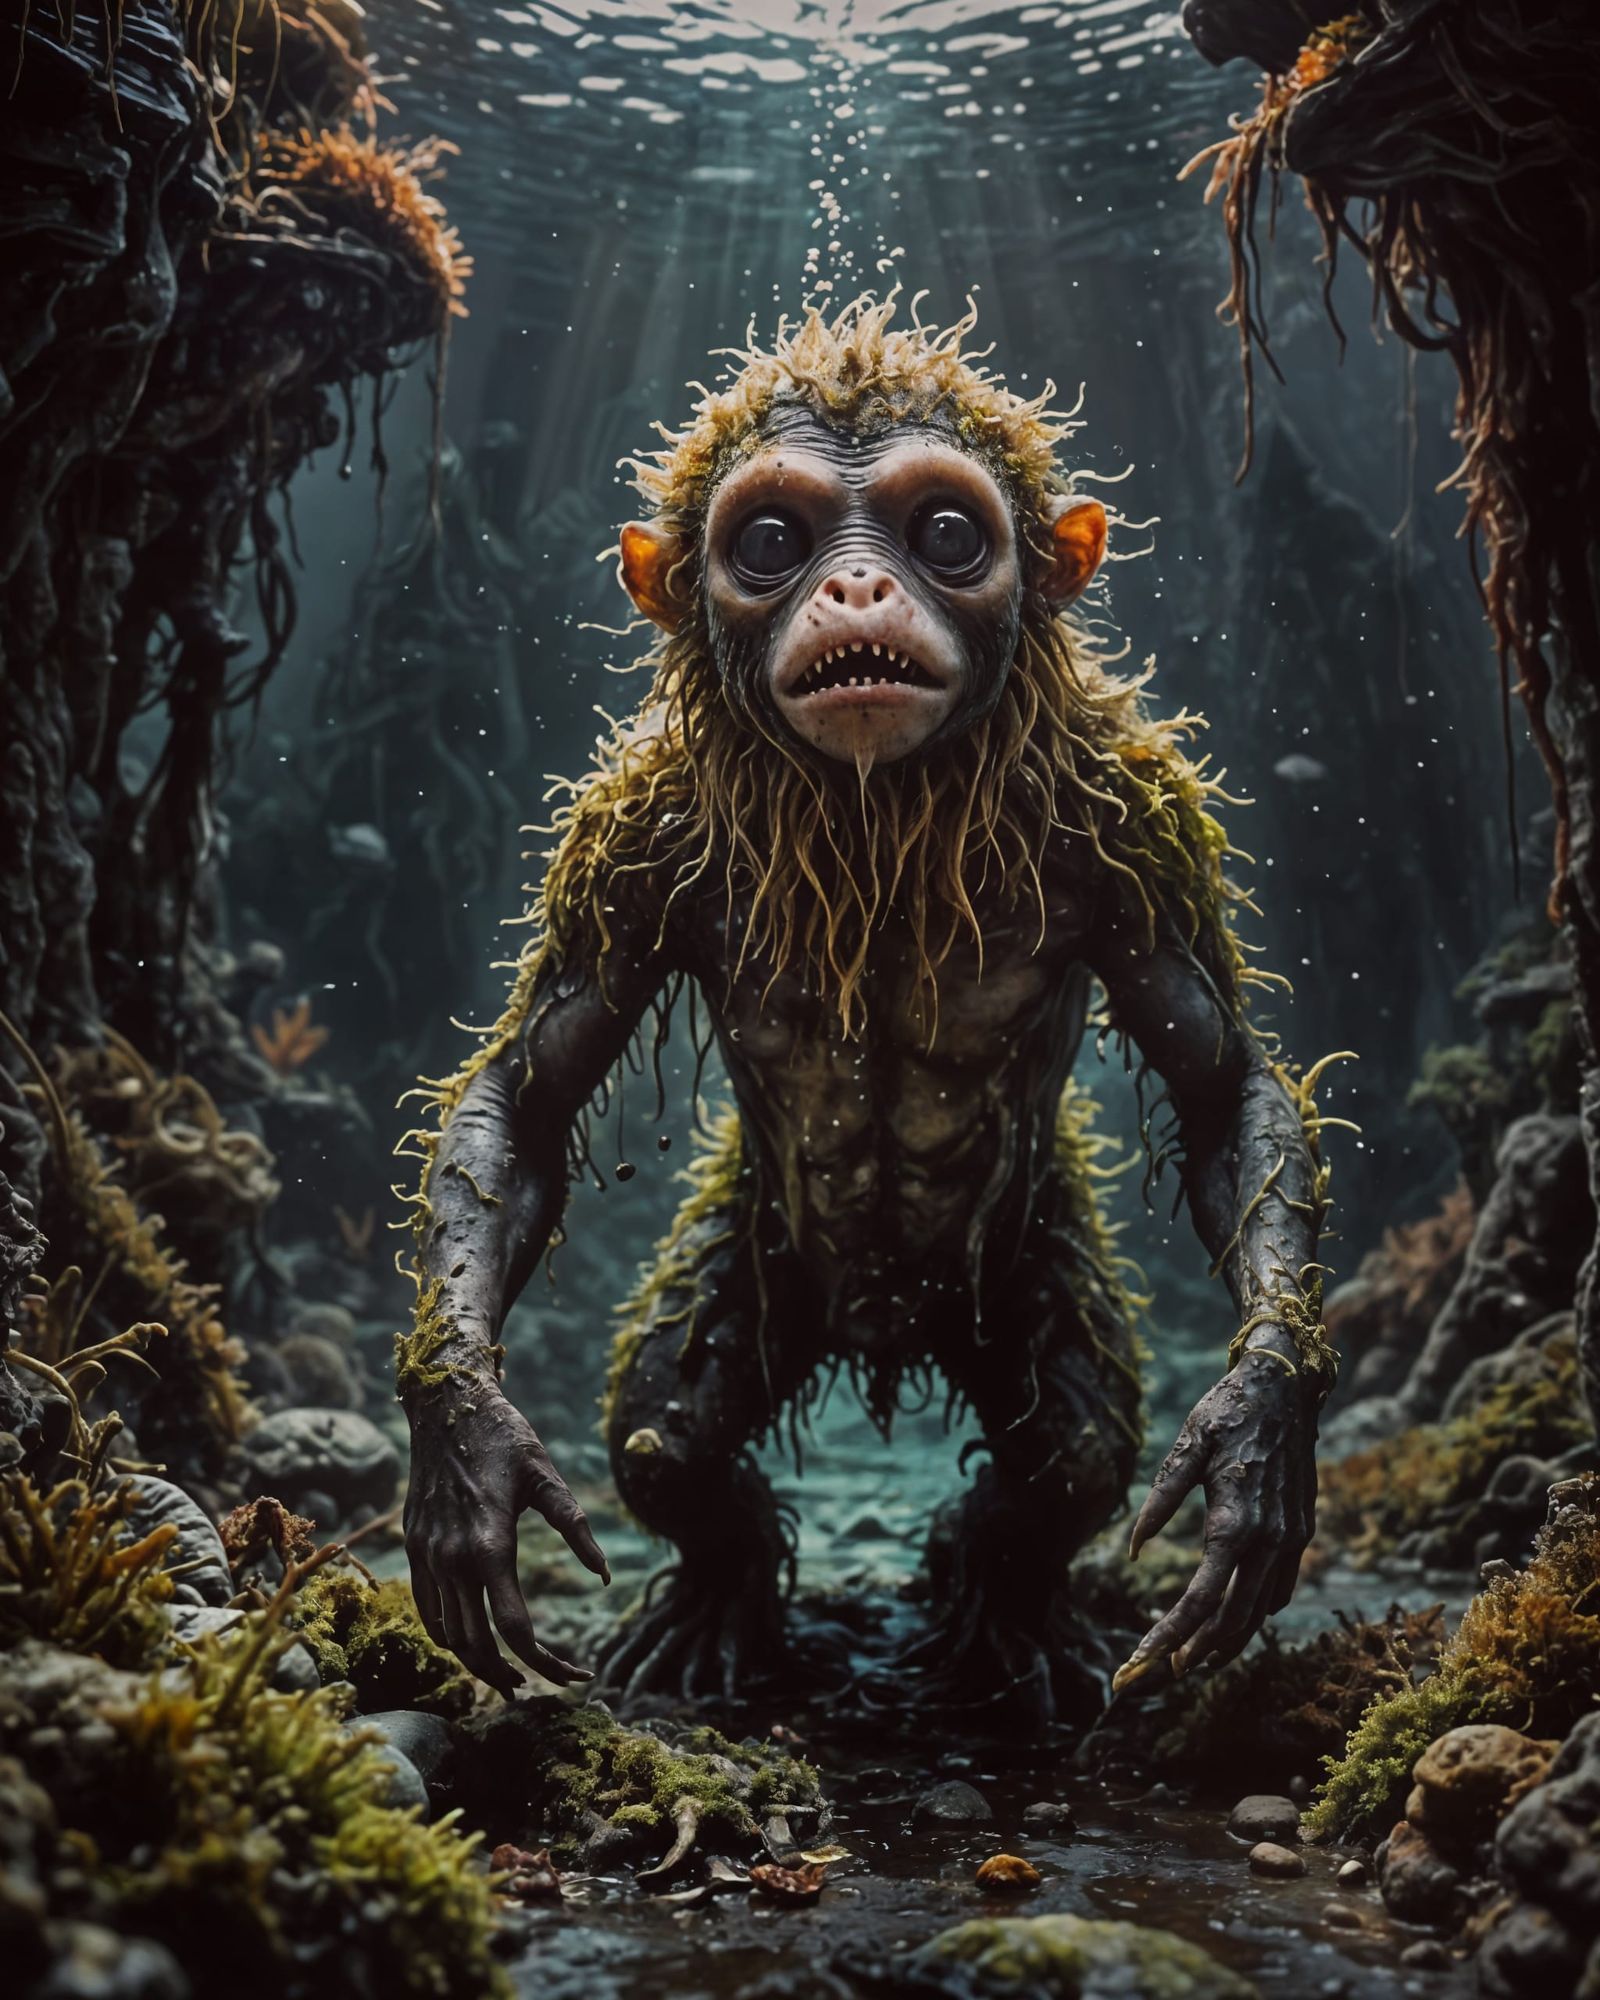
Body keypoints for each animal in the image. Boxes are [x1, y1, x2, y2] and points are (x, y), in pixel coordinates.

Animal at [393, 296, 1339, 1722]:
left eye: (944, 534)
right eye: (770, 544)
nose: (852, 587)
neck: (880, 814)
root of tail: (884, 1343)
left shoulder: (1131, 822)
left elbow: (1225, 1090)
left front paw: (1258, 1432)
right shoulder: (632, 843)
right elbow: (527, 1095)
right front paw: (466, 1445)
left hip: (1021, 1264)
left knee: (1069, 1453)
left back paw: (990, 1598)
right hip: (762, 1257)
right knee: (664, 1438)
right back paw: (723, 1600)